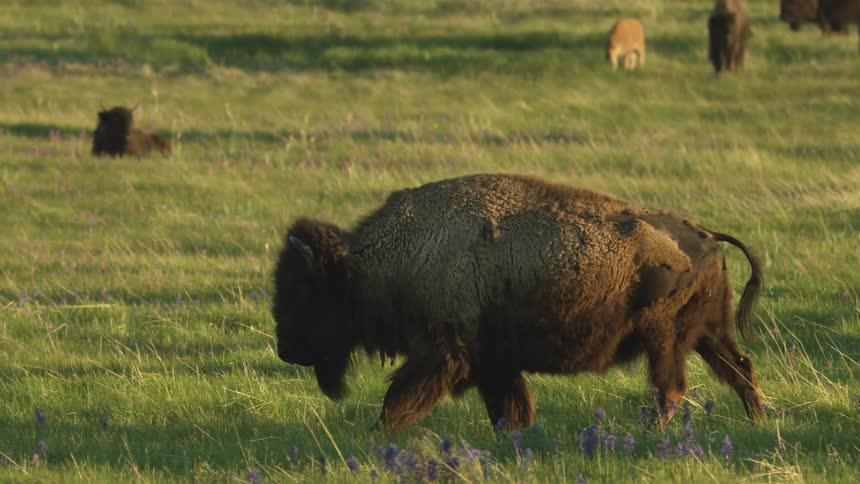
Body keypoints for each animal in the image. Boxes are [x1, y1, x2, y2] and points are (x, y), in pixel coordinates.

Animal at [272, 174, 766, 432]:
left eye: (304, 291)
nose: (285, 349)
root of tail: (707, 235)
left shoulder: (440, 355)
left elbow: (399, 399)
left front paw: (380, 434)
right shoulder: (493, 363)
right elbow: (510, 406)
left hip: (665, 338)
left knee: (672, 387)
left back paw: (651, 432)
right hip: (707, 334)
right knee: (739, 368)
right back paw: (758, 419)